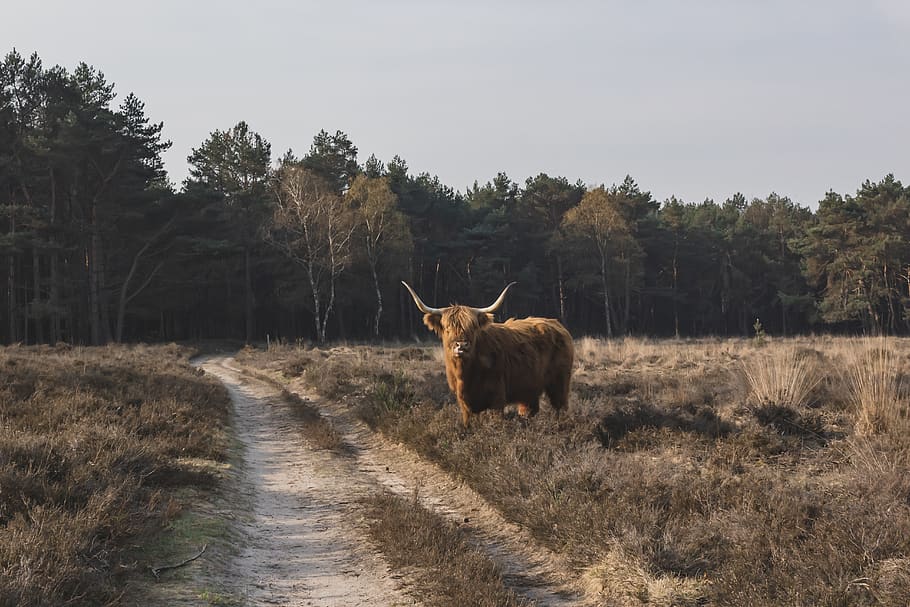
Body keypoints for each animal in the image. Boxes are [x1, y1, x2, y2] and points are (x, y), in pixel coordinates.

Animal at [401, 281, 574, 426]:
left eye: (472, 327)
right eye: (448, 327)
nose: (461, 345)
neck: (465, 374)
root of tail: (557, 324)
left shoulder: (497, 398)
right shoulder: (464, 403)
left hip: (559, 382)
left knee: (560, 406)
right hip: (529, 387)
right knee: (529, 409)